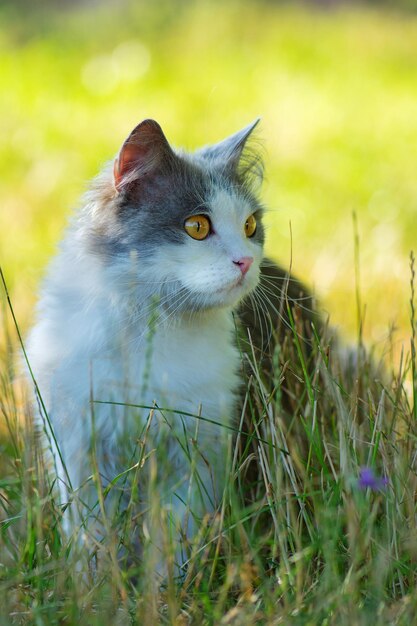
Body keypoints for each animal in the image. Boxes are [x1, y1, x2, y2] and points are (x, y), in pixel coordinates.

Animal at [26, 118, 312, 572]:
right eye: (197, 227)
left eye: (250, 226)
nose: (247, 262)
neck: (148, 329)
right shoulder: (78, 446)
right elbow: (94, 536)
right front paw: (98, 583)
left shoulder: (198, 449)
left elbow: (175, 539)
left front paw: (168, 585)